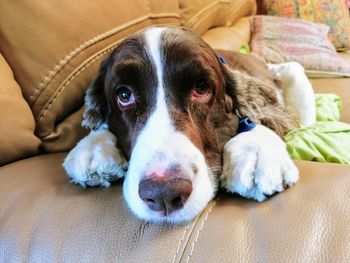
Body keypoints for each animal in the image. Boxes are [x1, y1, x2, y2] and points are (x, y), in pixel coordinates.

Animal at [62, 25, 312, 225]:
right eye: (124, 95)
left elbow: (260, 114)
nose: (163, 193)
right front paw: (93, 147)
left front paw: (257, 151)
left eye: (201, 88)